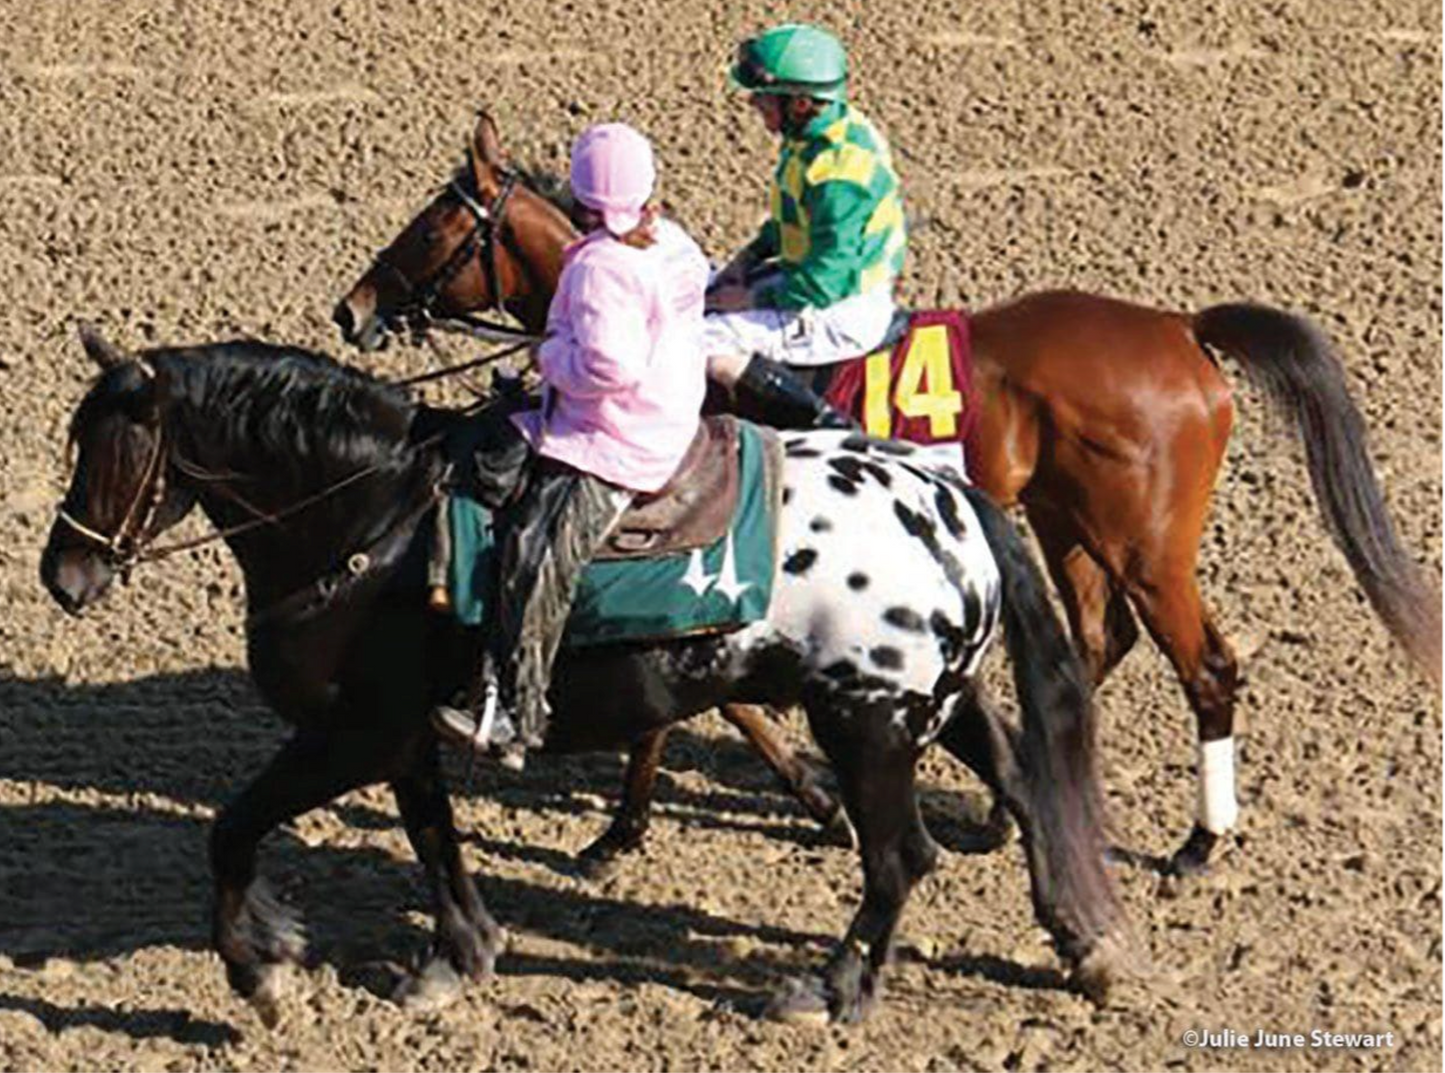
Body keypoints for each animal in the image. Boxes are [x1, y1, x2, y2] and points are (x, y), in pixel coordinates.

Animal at [40, 326, 1128, 1025]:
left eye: (109, 444)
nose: (62, 574)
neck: (376, 522)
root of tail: (946, 494)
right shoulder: (402, 734)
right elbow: (433, 837)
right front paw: (458, 957)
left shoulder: (348, 732)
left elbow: (233, 827)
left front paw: (262, 977)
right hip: (929, 706)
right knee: (1019, 779)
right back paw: (1082, 945)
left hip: (866, 723)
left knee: (900, 854)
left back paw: (832, 992)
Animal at [332, 112, 1441, 878]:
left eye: (432, 224)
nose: (351, 308)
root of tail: (1179, 328)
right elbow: (702, 700)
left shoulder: (702, 547)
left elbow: (700, 704)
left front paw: (636, 828)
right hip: (1063, 520)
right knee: (1096, 641)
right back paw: (1007, 804)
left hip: (1144, 540)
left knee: (1204, 664)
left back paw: (1197, 842)